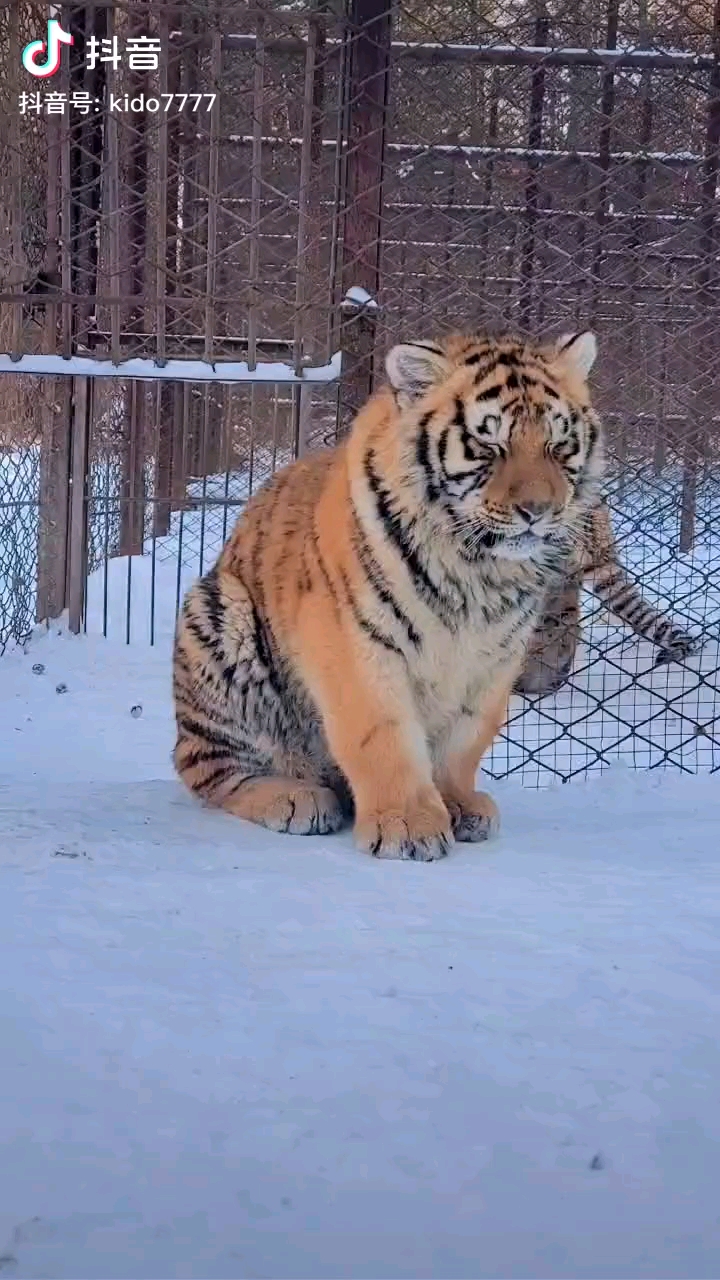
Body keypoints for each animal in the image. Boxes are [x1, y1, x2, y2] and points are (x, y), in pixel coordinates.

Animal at [172, 330, 599, 860]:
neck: (478, 568)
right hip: (217, 612)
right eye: (489, 441)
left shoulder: (495, 656)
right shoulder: (355, 640)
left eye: (558, 443)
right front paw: (408, 824)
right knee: (208, 766)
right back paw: (295, 798)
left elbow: (466, 740)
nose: (538, 511)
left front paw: (458, 804)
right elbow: (382, 735)